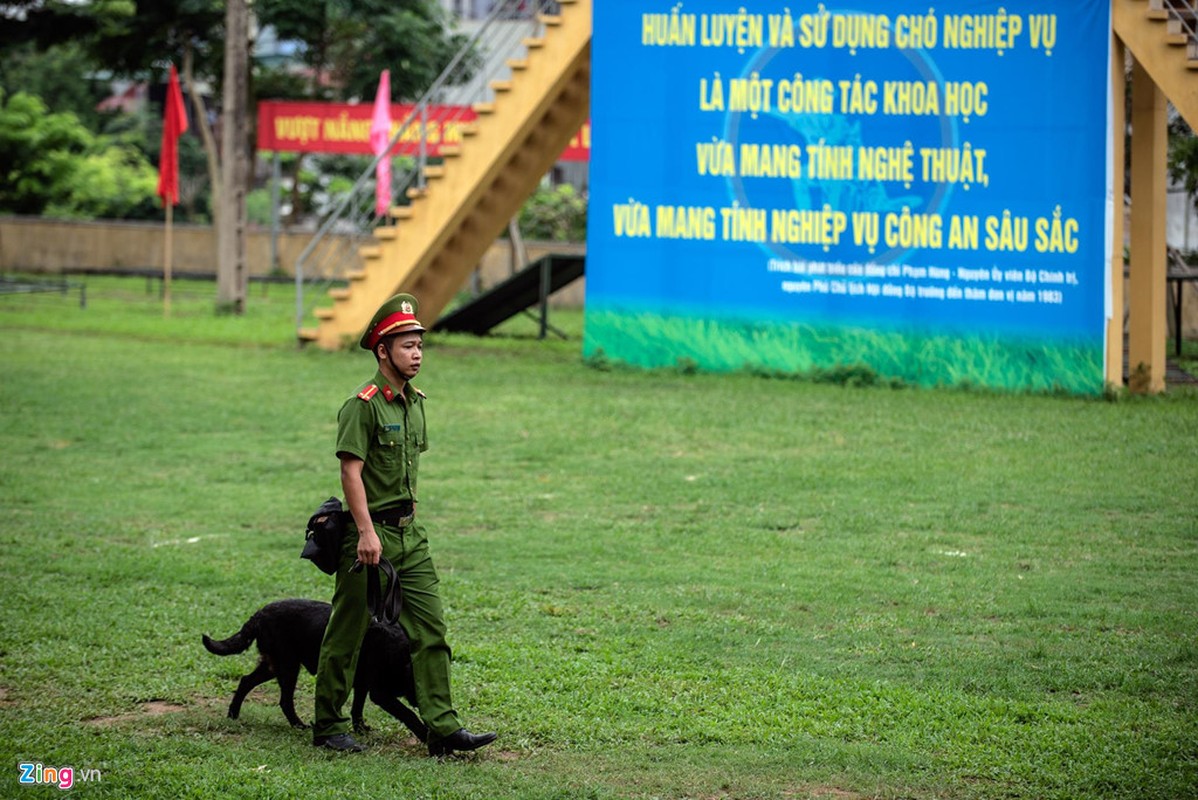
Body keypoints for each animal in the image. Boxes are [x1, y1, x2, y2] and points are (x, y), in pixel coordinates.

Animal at [203, 596, 428, 742]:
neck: (402, 656)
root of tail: (258, 614)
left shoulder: (363, 684)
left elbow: (357, 709)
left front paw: (361, 729)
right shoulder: (380, 693)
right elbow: (407, 714)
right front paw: (425, 735)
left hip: (273, 665)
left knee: (245, 681)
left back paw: (233, 714)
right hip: (288, 666)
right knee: (284, 700)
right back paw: (298, 725)